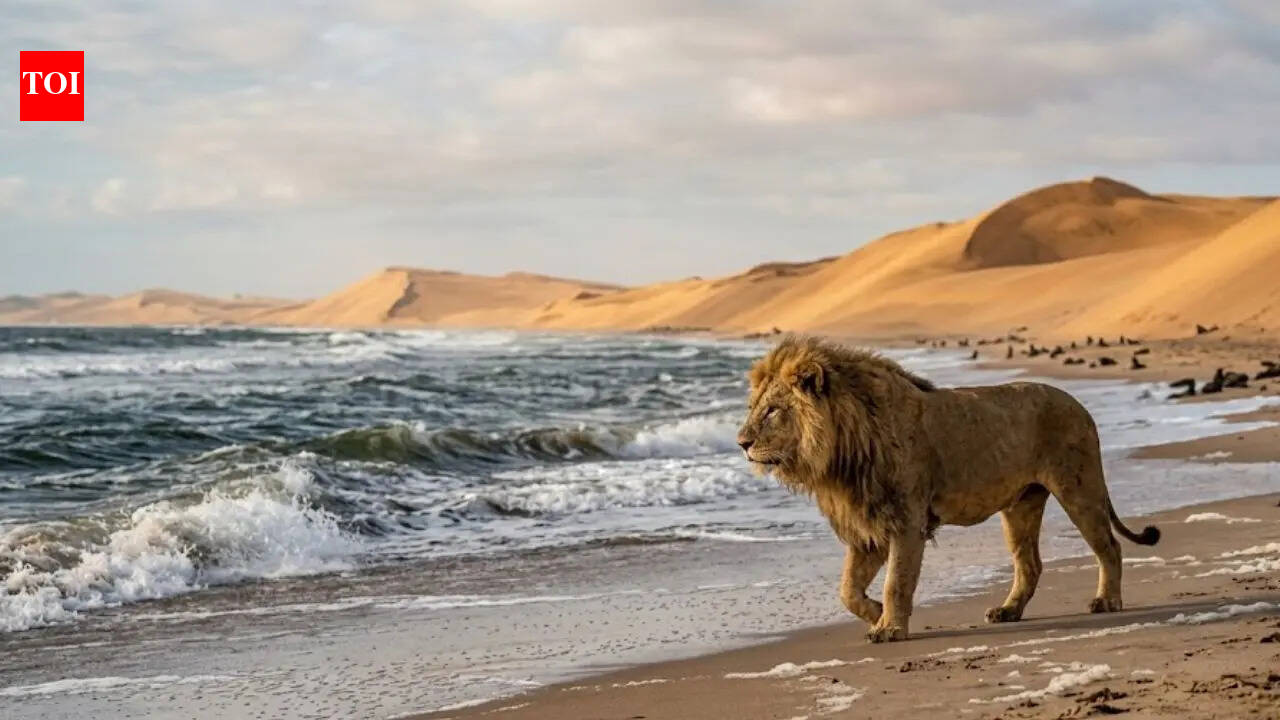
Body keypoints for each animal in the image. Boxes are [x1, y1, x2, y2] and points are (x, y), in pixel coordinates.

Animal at [737, 336, 1159, 643]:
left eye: (773, 410)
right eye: (753, 407)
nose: (741, 442)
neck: (841, 453)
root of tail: (1080, 405)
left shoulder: (906, 521)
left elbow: (896, 582)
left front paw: (891, 627)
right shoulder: (867, 527)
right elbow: (848, 590)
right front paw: (877, 615)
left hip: (1078, 488)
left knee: (1109, 546)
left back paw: (1107, 600)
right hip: (1021, 505)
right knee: (1030, 564)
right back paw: (1007, 611)